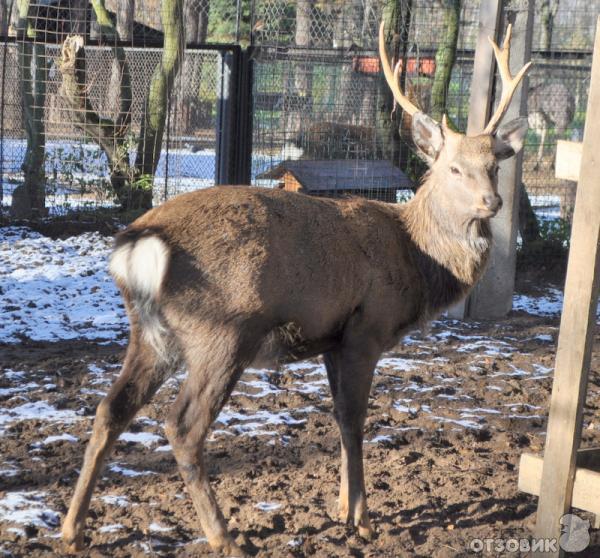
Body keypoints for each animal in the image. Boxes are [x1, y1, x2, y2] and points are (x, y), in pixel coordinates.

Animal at [61, 20, 528, 556]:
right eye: (453, 167)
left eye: (495, 164)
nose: (493, 202)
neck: (415, 256)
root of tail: (138, 245)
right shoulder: (367, 328)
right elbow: (354, 418)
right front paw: (362, 520)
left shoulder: (331, 340)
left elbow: (339, 417)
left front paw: (342, 508)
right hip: (223, 331)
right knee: (181, 425)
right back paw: (223, 535)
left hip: (151, 335)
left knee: (109, 410)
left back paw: (72, 529)